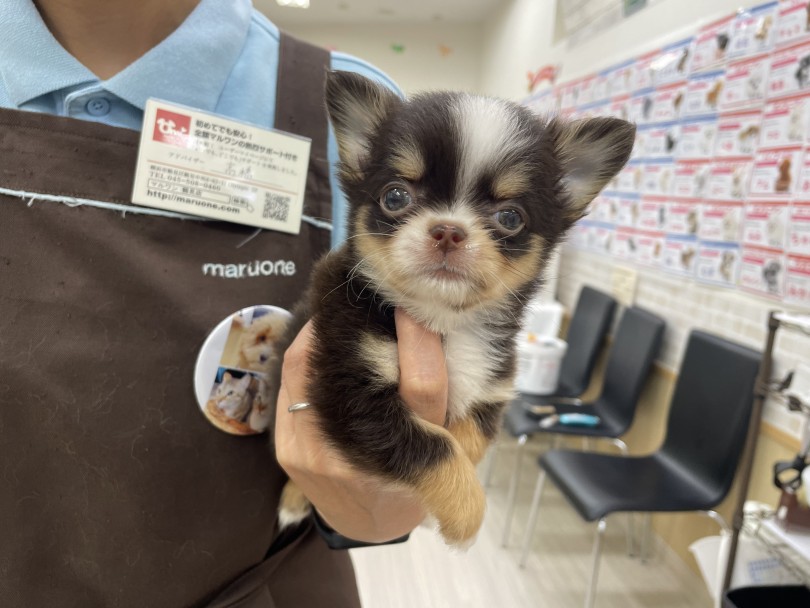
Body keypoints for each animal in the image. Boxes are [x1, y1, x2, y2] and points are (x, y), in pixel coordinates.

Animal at [274, 72, 636, 548]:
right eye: (395, 197)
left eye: (510, 218)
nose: (448, 229)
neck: (445, 319)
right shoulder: (349, 392)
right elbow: (432, 445)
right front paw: (466, 513)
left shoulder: (491, 388)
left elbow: (469, 439)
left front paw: (440, 508)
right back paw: (293, 499)